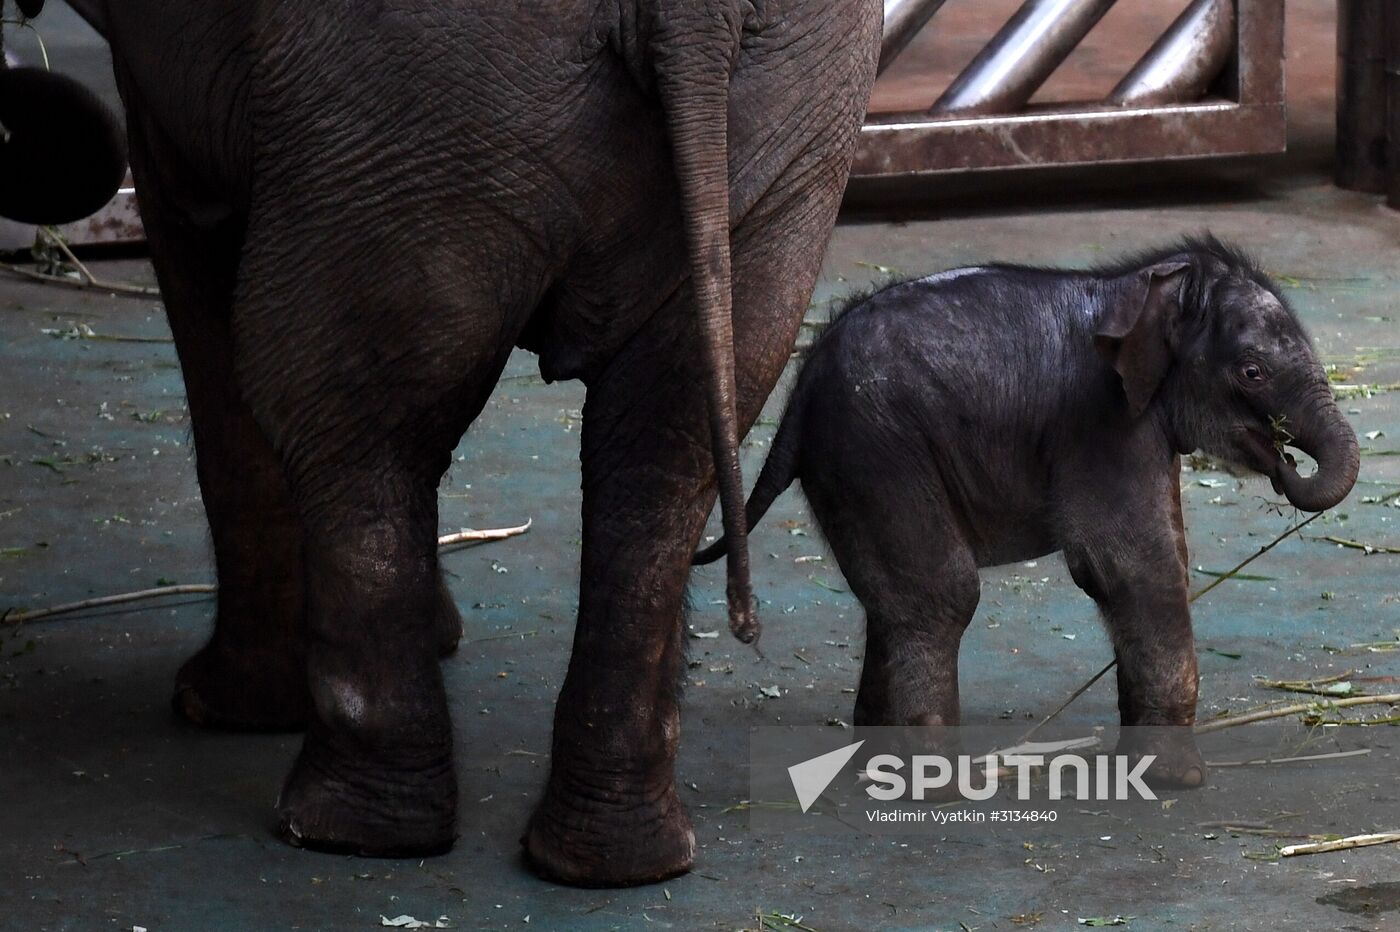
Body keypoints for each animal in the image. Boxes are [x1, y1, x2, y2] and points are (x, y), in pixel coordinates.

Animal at [13, 0, 873, 884]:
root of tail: (695, 17)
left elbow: (194, 229)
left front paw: (224, 711)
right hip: (783, 117)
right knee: (666, 452)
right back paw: (614, 862)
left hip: (407, 98)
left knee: (343, 415)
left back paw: (346, 830)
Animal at [700, 236, 1355, 778]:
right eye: (1252, 371)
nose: (1283, 461)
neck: (1142, 283)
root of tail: (801, 386)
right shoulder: (1101, 422)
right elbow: (1133, 569)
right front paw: (1177, 782)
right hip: (876, 448)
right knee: (939, 596)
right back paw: (932, 785)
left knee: (895, 603)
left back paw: (876, 765)